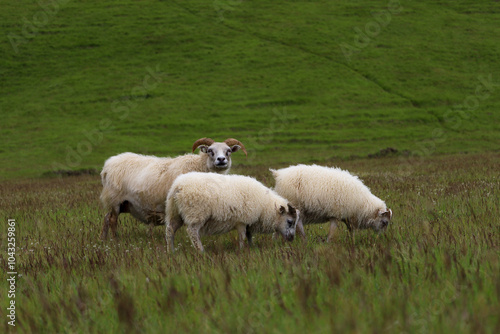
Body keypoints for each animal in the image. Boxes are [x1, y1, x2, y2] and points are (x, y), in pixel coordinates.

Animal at [98, 137, 247, 239]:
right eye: (210, 151)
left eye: (228, 151)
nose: (221, 160)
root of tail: (107, 165)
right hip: (115, 200)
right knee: (112, 220)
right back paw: (115, 239)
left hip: (124, 204)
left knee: (106, 218)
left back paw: (104, 240)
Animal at [165, 172, 296, 253]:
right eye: (290, 221)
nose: (292, 239)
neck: (265, 205)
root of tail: (177, 186)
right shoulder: (242, 220)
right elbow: (242, 236)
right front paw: (242, 250)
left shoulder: (248, 221)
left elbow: (249, 235)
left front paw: (251, 247)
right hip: (196, 214)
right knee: (192, 232)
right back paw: (201, 251)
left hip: (175, 213)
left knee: (170, 229)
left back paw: (171, 251)